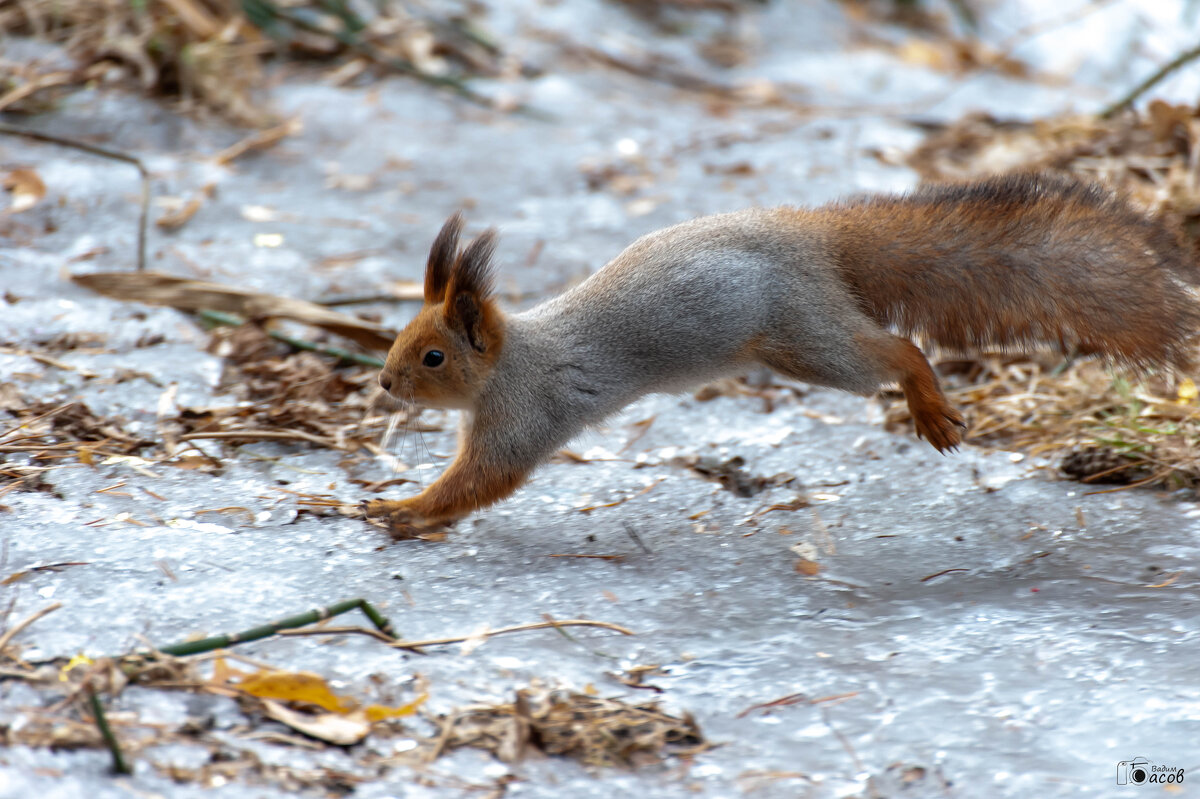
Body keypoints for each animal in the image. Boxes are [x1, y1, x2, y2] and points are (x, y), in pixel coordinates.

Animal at [364, 173, 1200, 535]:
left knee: (899, 348)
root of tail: (819, 238)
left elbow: (483, 480)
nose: (384, 383)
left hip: (806, 340)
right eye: (403, 341)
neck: (510, 361)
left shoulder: (524, 415)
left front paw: (400, 509)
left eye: (432, 357)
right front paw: (409, 510)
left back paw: (929, 407)